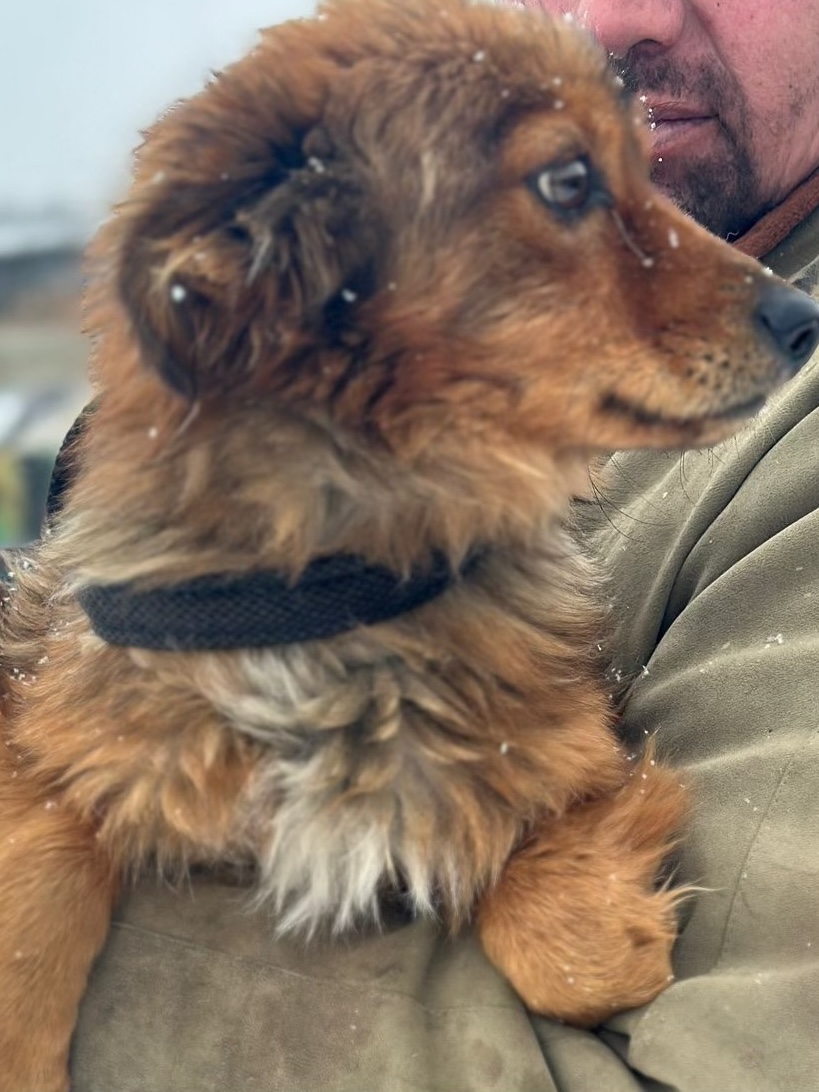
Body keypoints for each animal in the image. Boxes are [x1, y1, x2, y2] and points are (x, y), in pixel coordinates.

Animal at [2, 0, 817, 1087]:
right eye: (569, 181)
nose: (805, 315)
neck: (339, 591)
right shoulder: (55, 716)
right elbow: (36, 877)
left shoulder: (563, 742)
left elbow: (570, 947)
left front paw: (603, 926)